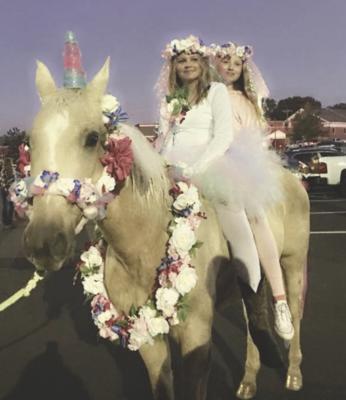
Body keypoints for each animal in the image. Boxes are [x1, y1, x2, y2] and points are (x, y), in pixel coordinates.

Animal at [23, 57, 310, 398]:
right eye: (30, 142)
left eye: (92, 138)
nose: (42, 242)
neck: (147, 243)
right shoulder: (148, 339)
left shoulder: (197, 339)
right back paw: (249, 379)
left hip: (293, 263)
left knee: (295, 312)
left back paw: (293, 371)